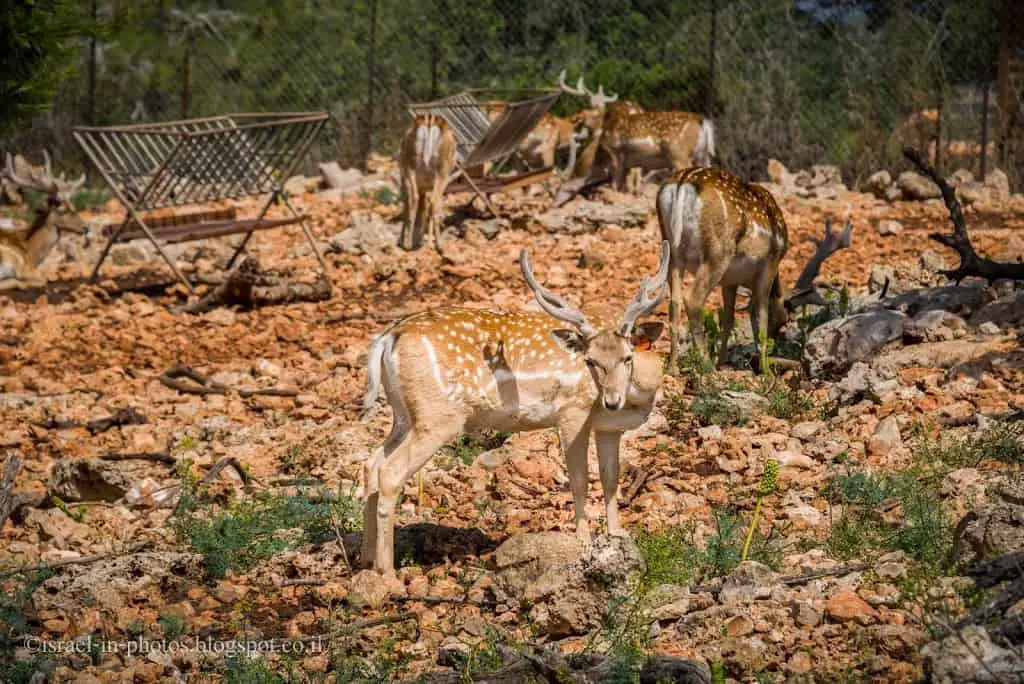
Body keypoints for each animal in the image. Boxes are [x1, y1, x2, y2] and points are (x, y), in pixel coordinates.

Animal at [360, 242, 671, 573]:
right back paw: (386, 571)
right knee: (390, 472)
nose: (612, 400)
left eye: (627, 357)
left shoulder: (609, 427)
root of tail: (387, 339)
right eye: (589, 361)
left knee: (372, 464)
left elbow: (610, 477)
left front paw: (617, 538)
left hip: (404, 414)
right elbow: (580, 480)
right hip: (438, 416)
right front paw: (584, 544)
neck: (640, 394)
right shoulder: (572, 412)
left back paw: (365, 560)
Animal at [399, 113, 456, 249]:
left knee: (414, 198)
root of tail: (429, 119)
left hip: (410, 167)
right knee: (433, 201)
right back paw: (440, 244)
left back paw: (408, 244)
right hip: (442, 171)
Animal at [655, 166, 790, 374]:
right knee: (692, 298)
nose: (775, 346)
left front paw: (722, 361)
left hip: (672, 251)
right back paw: (707, 366)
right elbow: (761, 315)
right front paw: (766, 372)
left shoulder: (730, 281)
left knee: (675, 301)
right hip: (718, 252)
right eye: (783, 322)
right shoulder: (770, 264)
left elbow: (728, 318)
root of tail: (683, 182)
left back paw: (673, 367)